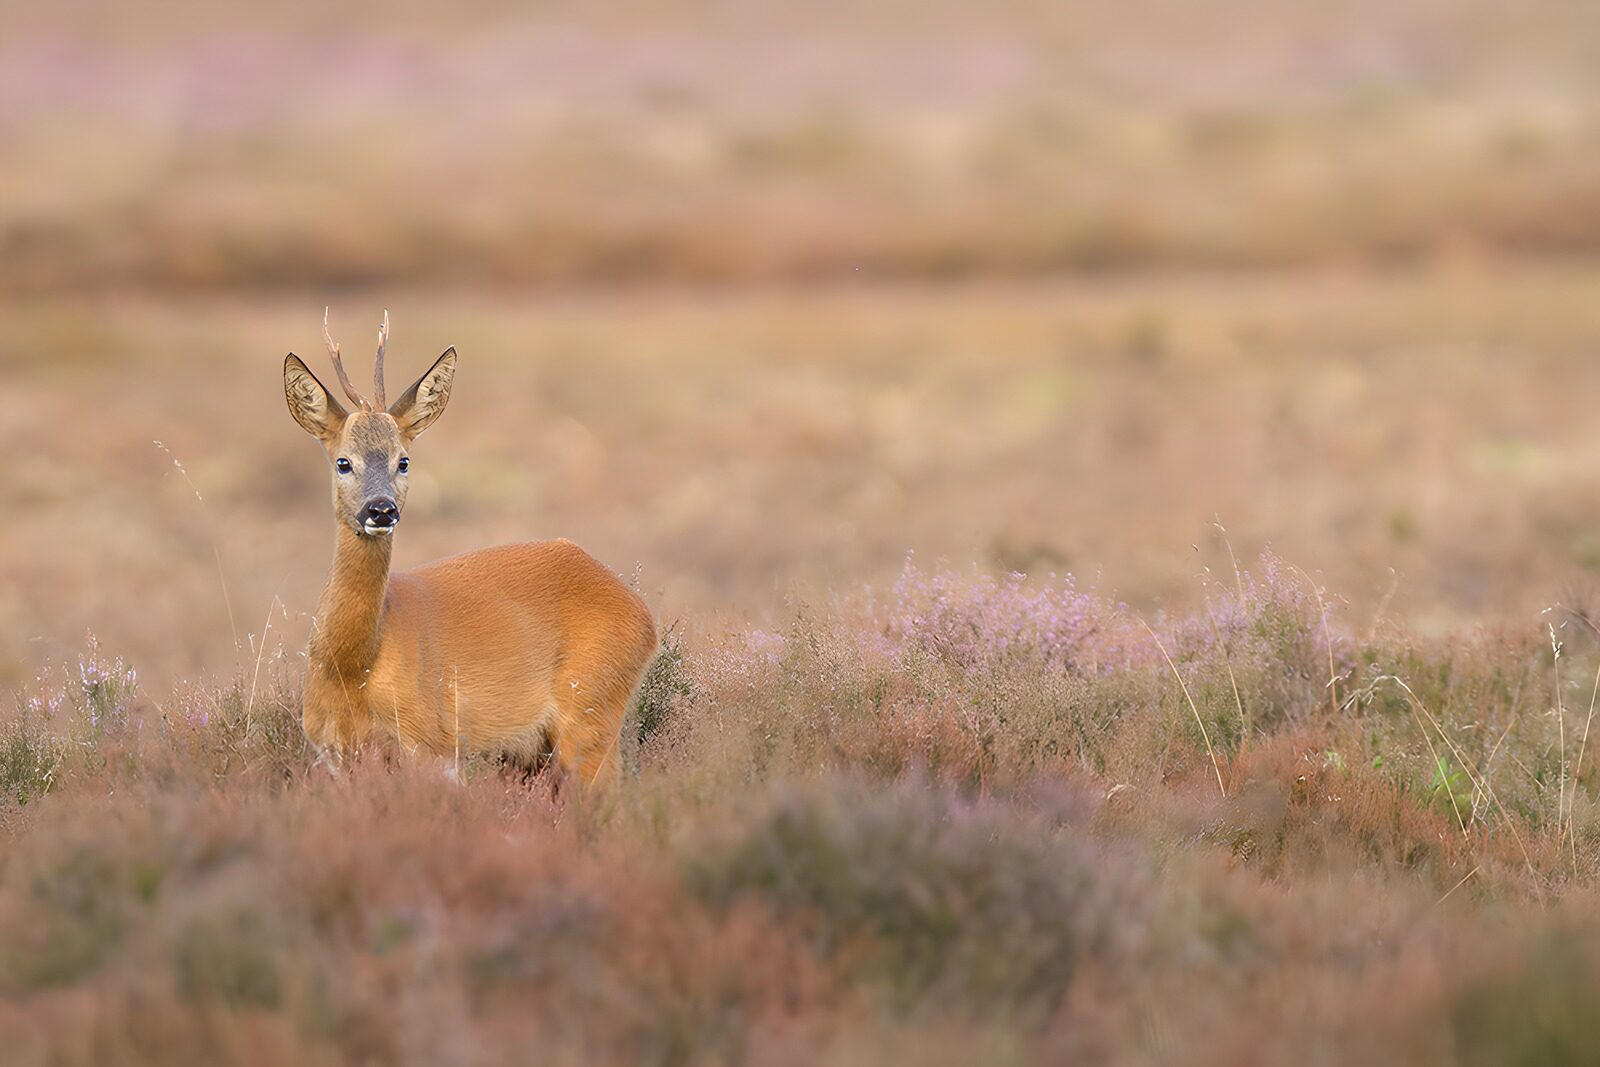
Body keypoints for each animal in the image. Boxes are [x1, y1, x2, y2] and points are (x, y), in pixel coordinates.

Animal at [283, 310, 657, 787]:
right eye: (343, 462)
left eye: (404, 460)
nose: (381, 509)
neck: (351, 667)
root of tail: (642, 612)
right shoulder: (330, 752)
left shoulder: (431, 744)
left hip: (592, 709)